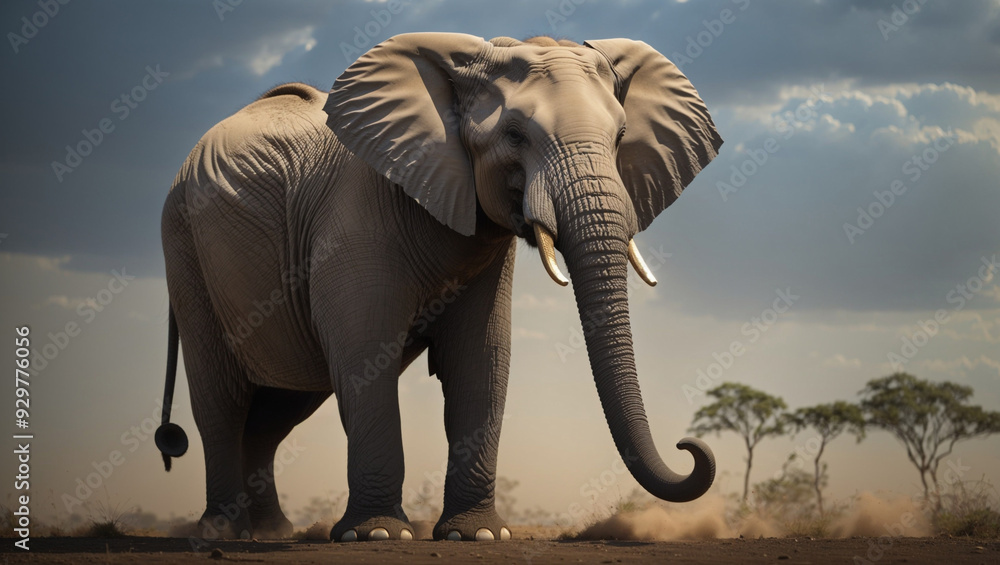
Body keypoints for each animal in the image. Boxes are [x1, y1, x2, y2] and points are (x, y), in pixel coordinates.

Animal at [156, 32, 722, 543]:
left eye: (621, 137)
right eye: (514, 135)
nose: (688, 448)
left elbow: (482, 358)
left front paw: (480, 535)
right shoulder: (354, 218)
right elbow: (366, 354)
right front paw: (376, 535)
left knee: (277, 411)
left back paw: (271, 533)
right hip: (184, 247)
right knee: (222, 402)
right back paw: (223, 533)